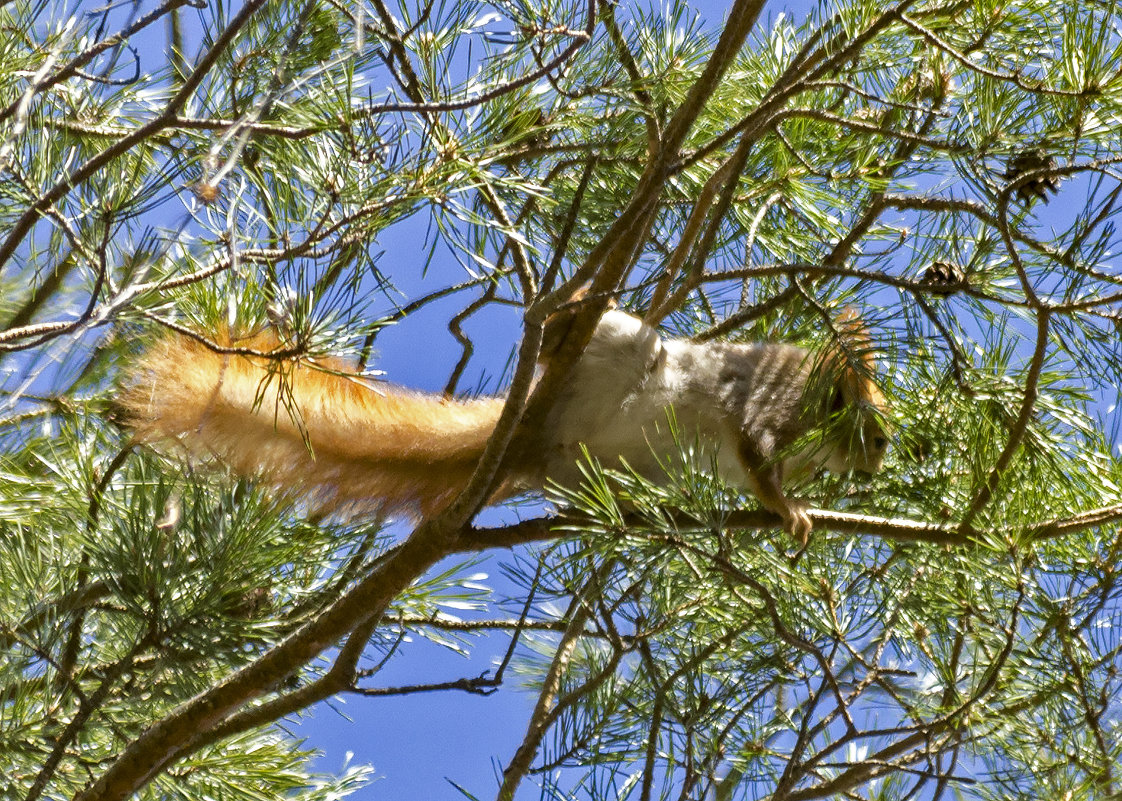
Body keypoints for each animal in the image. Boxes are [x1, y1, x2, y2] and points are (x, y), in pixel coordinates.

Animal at [118, 302, 888, 540]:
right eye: (870, 424)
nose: (883, 460)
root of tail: (527, 434)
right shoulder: (768, 409)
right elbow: (756, 455)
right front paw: (791, 513)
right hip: (618, 349)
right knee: (571, 341)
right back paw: (560, 315)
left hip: (607, 460)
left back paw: (625, 509)